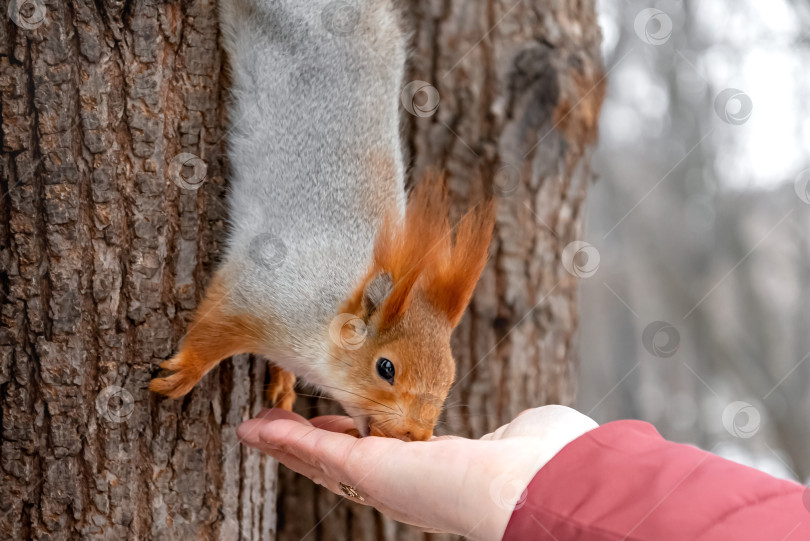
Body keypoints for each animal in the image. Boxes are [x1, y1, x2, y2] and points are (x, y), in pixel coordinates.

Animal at [148, 0, 496, 438]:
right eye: (386, 368)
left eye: (449, 376)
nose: (416, 435)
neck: (328, 312)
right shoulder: (262, 288)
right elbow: (214, 325)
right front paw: (187, 370)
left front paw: (282, 380)